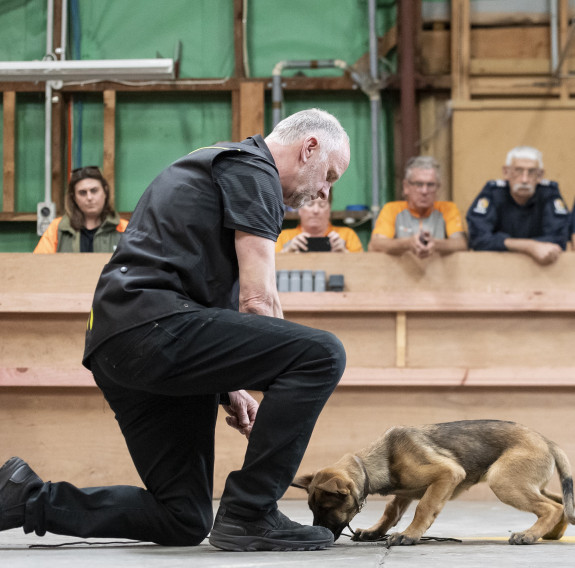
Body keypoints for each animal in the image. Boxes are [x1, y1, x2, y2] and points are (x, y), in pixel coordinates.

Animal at [294, 422, 575, 544]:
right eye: (312, 510)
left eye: (326, 508)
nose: (320, 533)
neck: (379, 460)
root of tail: (547, 440)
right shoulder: (405, 493)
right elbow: (390, 512)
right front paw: (375, 531)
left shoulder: (447, 475)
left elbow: (424, 507)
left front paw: (409, 534)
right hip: (527, 483)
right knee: (560, 502)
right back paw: (550, 532)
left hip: (503, 480)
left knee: (551, 507)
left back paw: (529, 534)